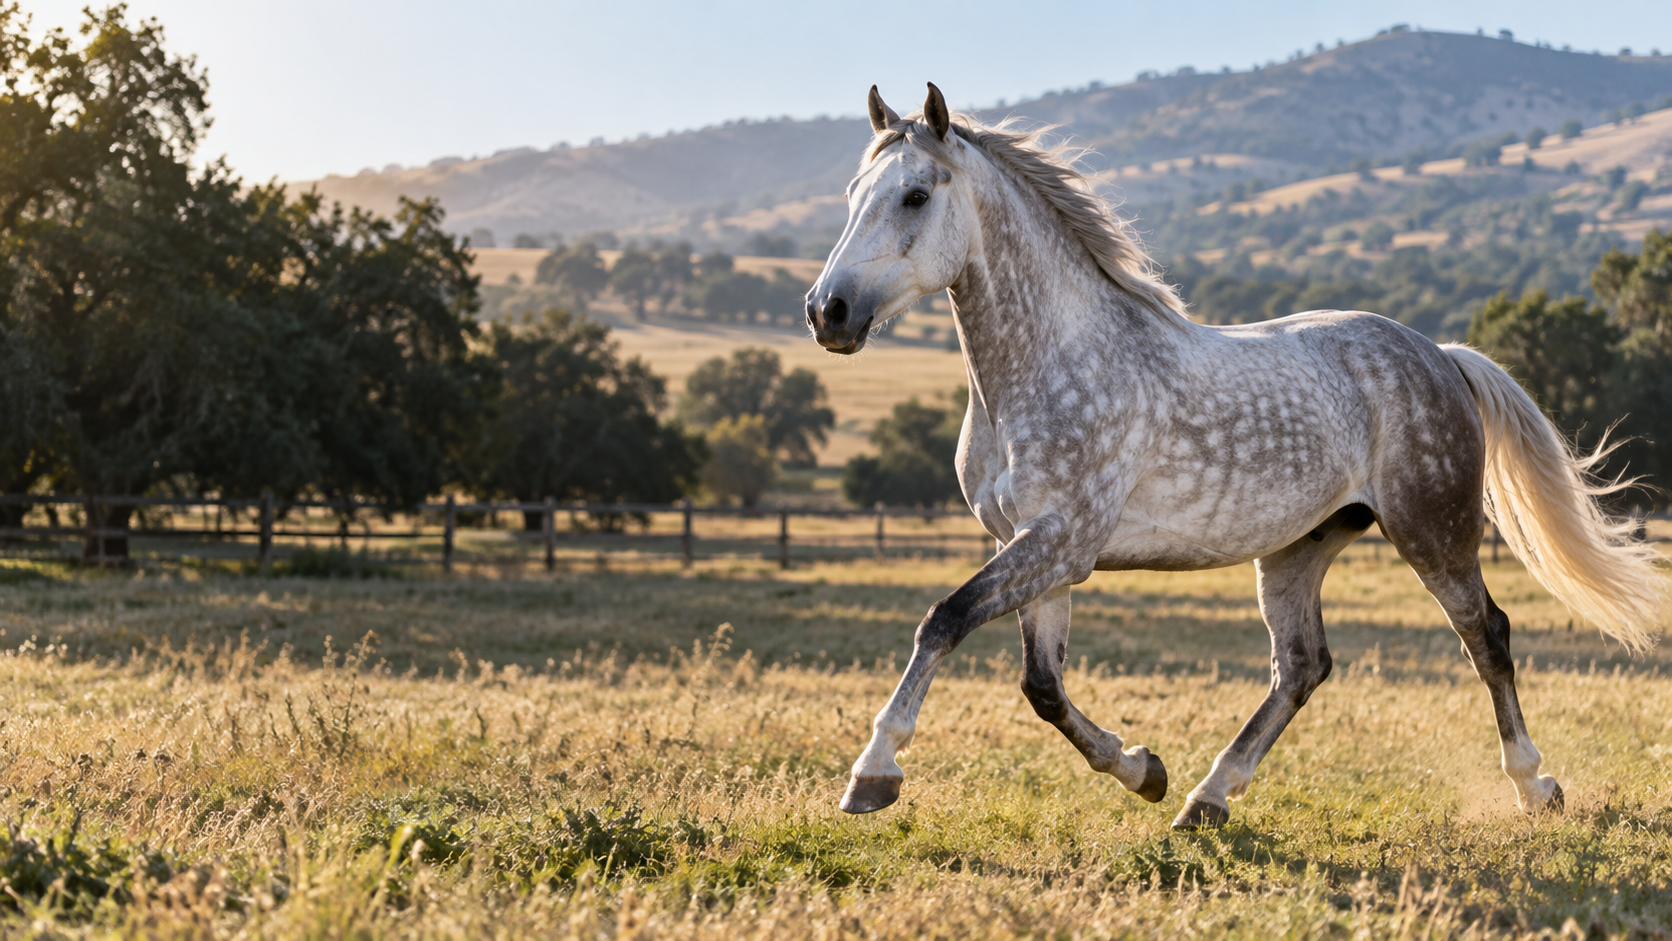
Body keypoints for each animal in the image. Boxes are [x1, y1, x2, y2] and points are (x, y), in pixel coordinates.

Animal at [802, 82, 1665, 829]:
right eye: (852, 194)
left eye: (916, 195)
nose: (826, 311)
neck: (1050, 363)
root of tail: (1441, 355)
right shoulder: (1036, 546)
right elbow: (1042, 684)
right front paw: (1145, 770)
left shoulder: (1060, 539)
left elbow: (942, 620)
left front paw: (873, 774)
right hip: (1298, 547)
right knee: (1302, 665)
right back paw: (1205, 798)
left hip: (1434, 531)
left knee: (1487, 633)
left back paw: (1535, 785)